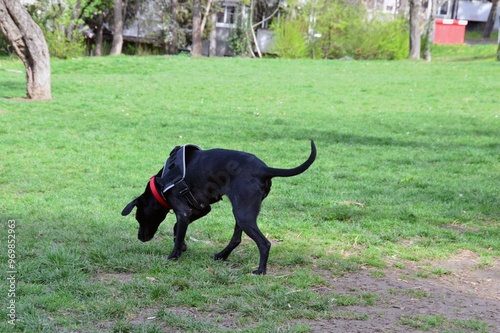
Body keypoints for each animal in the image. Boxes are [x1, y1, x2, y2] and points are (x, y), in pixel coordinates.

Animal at [121, 139, 316, 272]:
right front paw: (182, 246)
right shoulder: (202, 207)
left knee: (264, 243)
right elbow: (178, 228)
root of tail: (264, 169)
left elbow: (177, 231)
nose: (140, 238)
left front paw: (173, 255)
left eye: (139, 218)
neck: (161, 183)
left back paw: (260, 271)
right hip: (241, 212)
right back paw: (221, 255)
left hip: (243, 214)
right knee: (237, 239)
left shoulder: (183, 211)